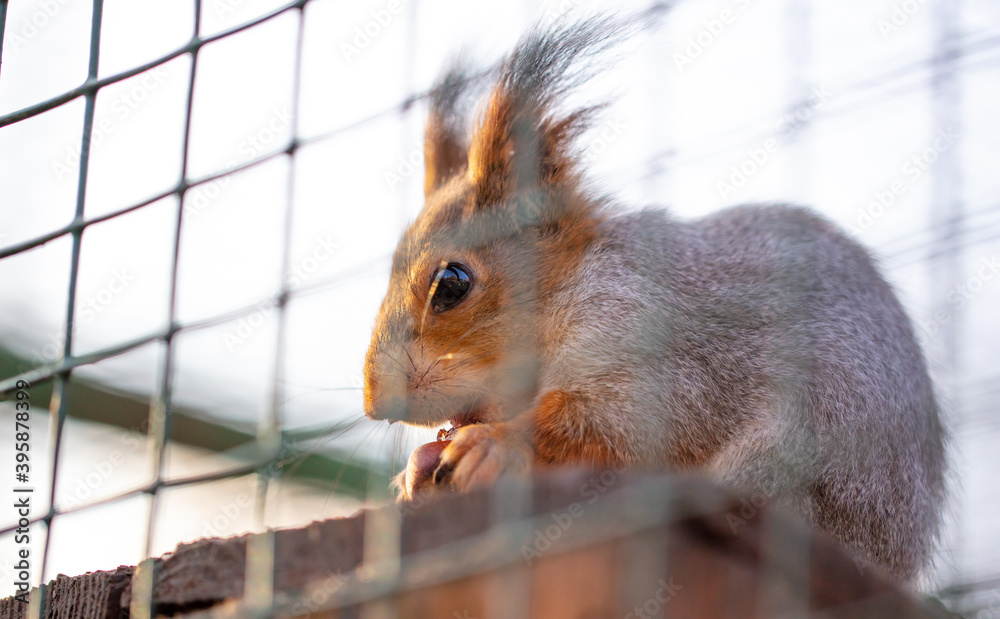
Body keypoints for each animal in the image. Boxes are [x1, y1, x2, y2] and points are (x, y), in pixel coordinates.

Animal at [362, 15, 946, 583]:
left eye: (451, 284)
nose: (377, 406)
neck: (570, 288)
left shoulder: (652, 338)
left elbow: (613, 426)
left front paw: (491, 444)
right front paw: (418, 465)